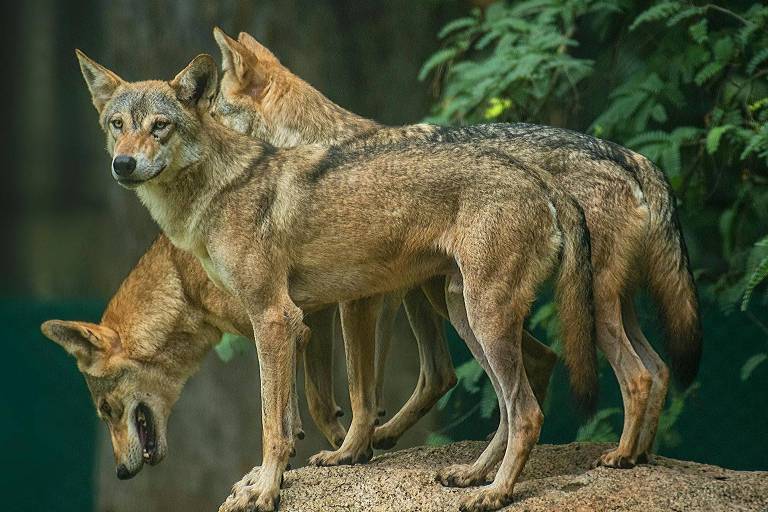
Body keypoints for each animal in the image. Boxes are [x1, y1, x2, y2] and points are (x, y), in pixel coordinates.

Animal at [75, 49, 596, 512]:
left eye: (159, 127)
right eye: (117, 125)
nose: (123, 164)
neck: (216, 193)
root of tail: (540, 179)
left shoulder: (275, 318)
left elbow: (275, 424)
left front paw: (266, 492)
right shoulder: (297, 322)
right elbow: (294, 418)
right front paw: (275, 480)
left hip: (480, 318)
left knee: (526, 412)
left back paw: (495, 493)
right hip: (463, 315)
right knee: (508, 406)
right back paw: (472, 475)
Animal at [214, 31, 704, 472]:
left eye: (210, 110)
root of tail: (632, 157)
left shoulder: (359, 302)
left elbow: (359, 390)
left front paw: (347, 451)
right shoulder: (330, 304)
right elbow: (322, 396)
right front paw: (337, 442)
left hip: (564, 308)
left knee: (635, 375)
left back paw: (617, 455)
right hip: (464, 299)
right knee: (653, 368)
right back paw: (635, 455)